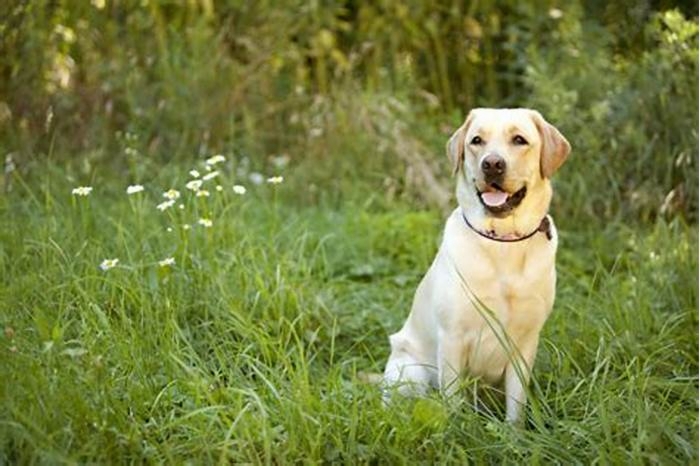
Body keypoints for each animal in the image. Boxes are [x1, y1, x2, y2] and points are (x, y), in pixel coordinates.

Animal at [382, 108, 568, 422]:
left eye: (519, 140)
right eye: (476, 141)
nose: (492, 165)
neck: (502, 242)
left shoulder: (525, 343)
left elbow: (516, 404)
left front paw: (513, 433)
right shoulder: (452, 338)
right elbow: (453, 399)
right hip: (410, 371)